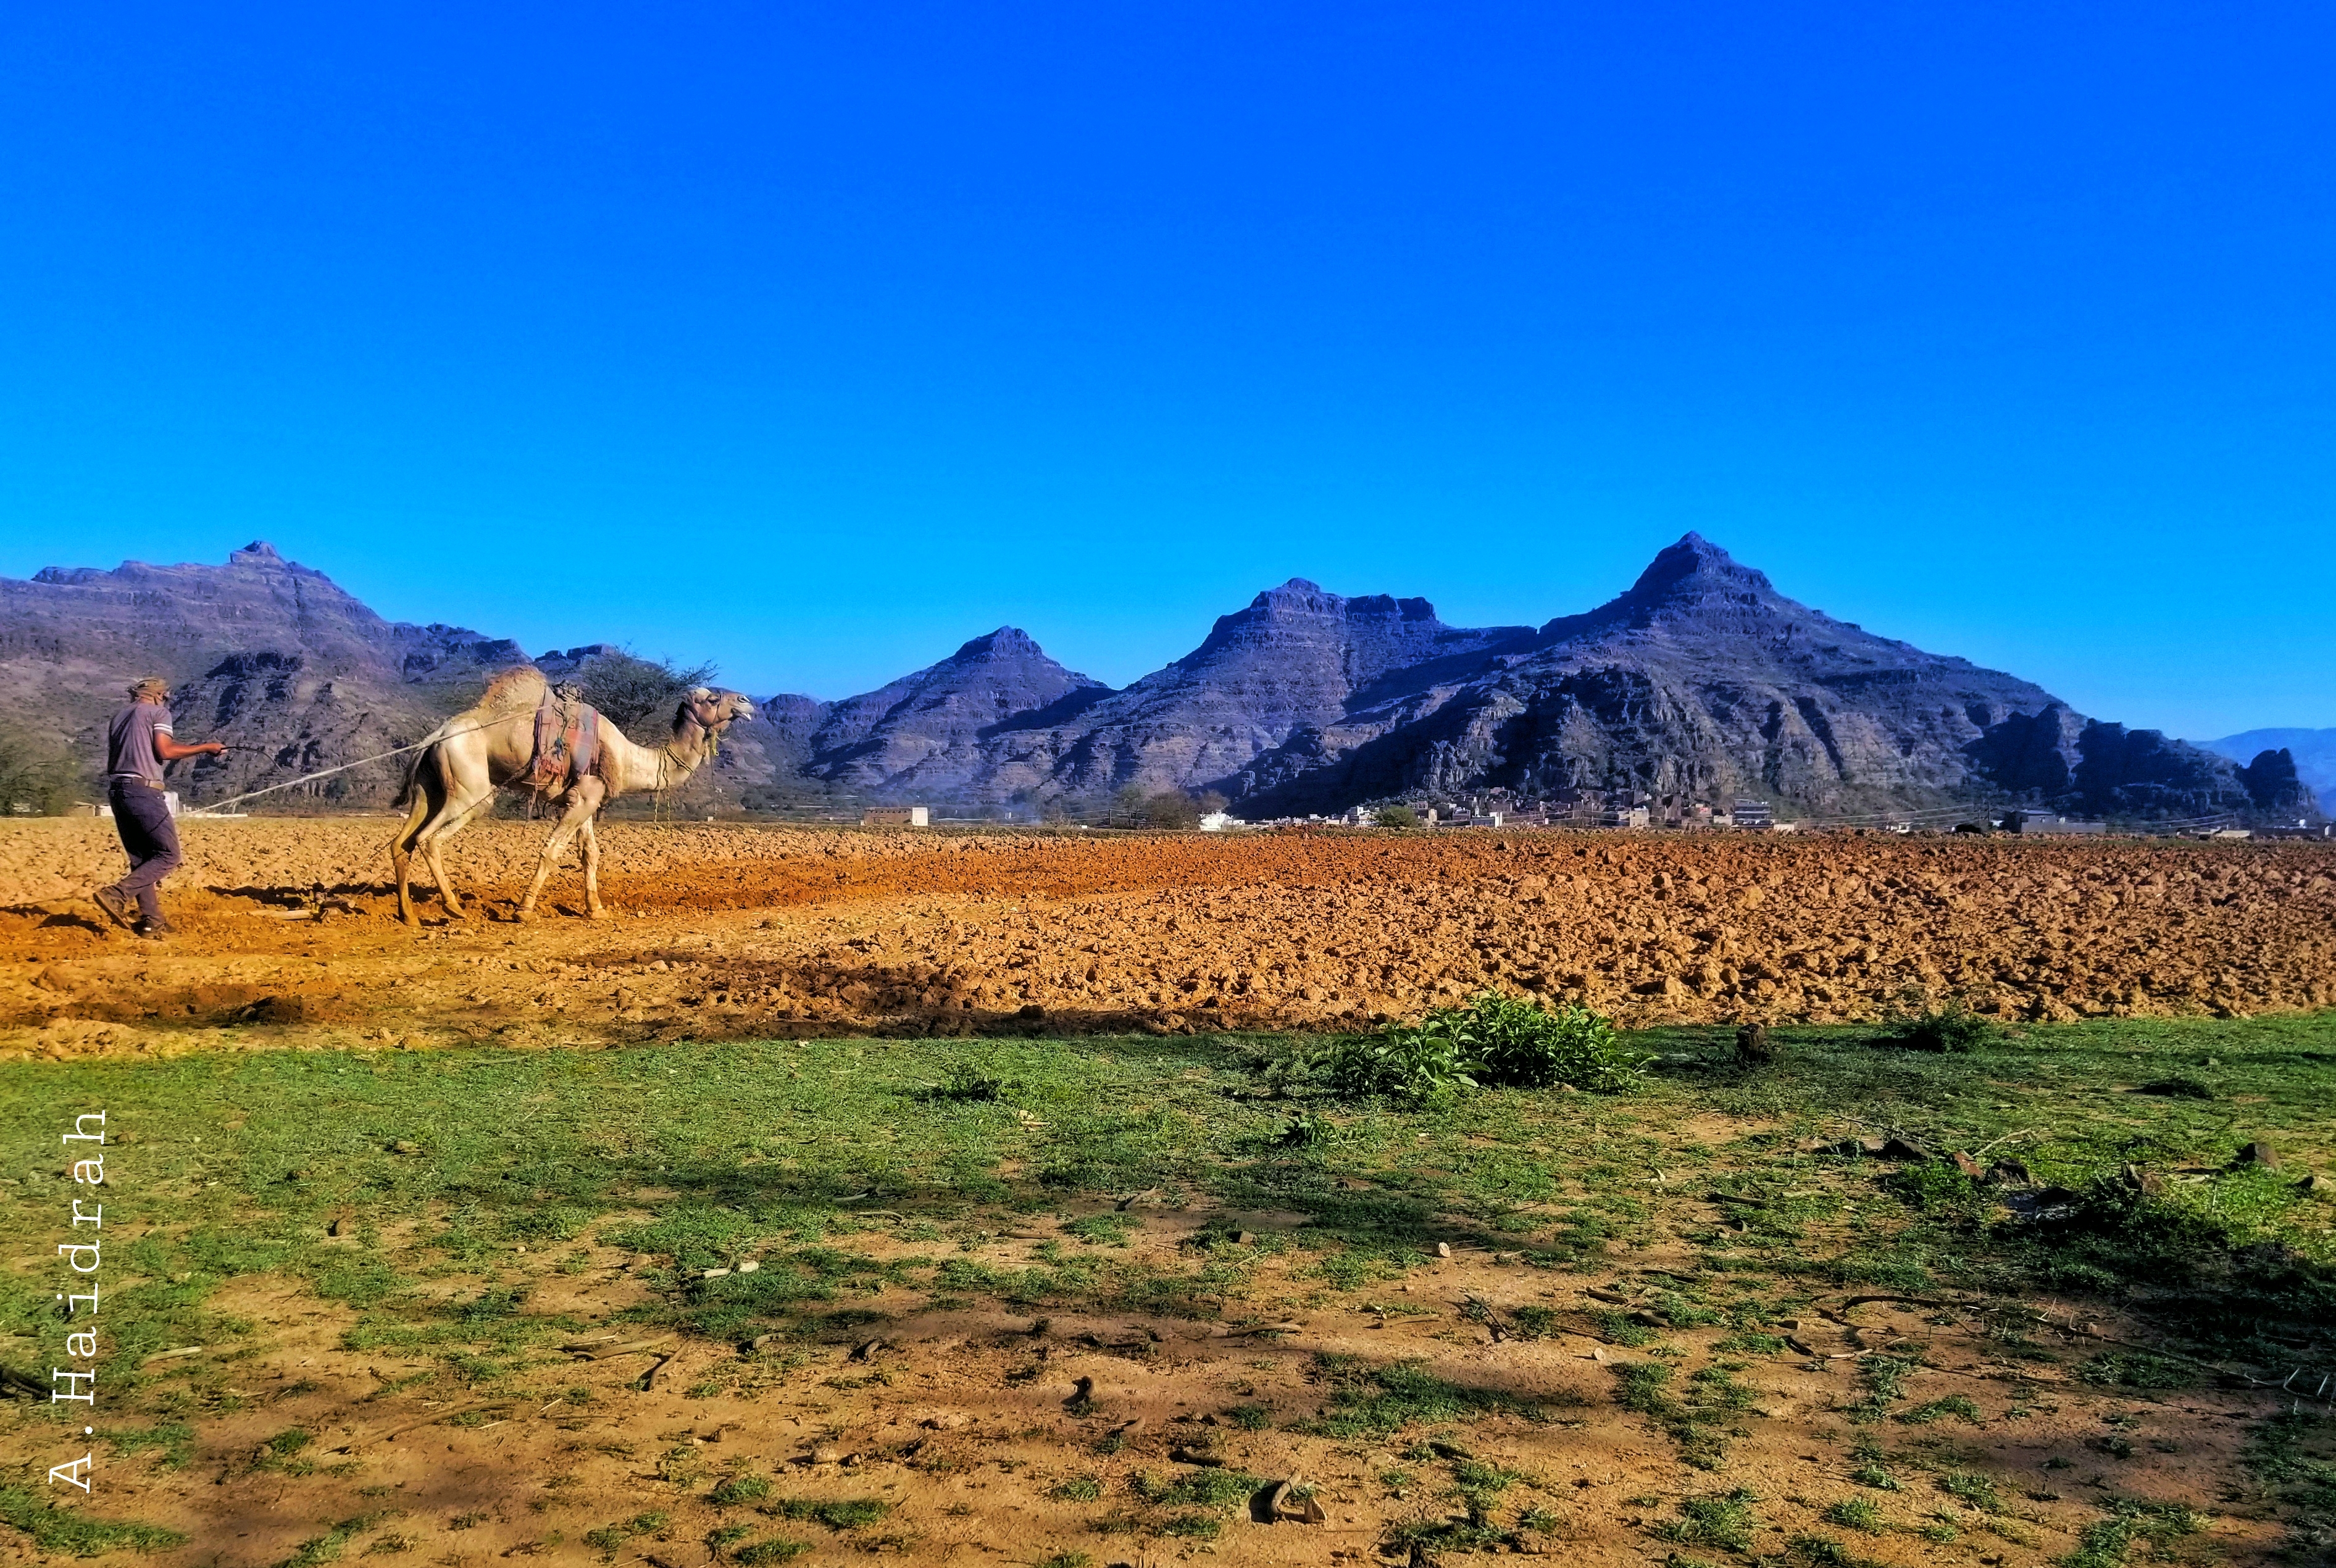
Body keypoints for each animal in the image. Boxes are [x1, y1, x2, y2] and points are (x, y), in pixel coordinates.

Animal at [390, 668, 757, 925]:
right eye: (712, 699)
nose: (747, 702)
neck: (625, 756)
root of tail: (436, 735)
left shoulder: (586, 798)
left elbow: (589, 854)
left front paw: (596, 909)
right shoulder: (581, 800)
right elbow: (552, 851)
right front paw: (524, 910)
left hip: (431, 788)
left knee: (401, 842)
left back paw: (408, 916)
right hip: (471, 789)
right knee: (428, 838)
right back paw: (454, 908)